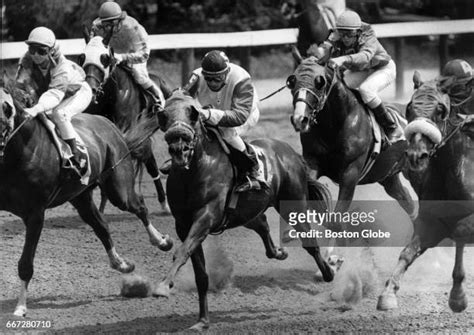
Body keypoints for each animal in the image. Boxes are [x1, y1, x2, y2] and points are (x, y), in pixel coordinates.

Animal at [0, 82, 173, 318]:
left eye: (5, 109)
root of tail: (109, 125)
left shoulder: (35, 215)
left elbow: (26, 263)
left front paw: (20, 307)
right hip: (80, 197)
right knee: (101, 225)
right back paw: (121, 264)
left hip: (118, 188)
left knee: (139, 207)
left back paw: (161, 241)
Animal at [77, 34, 173, 213]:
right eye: (82, 57)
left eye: (105, 58)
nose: (91, 88)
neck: (112, 96)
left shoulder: (127, 132)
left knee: (152, 165)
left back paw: (165, 203)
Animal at [150, 90, 336, 334]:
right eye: (165, 116)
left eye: (193, 115)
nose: (179, 147)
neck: (193, 172)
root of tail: (291, 153)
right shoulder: (183, 225)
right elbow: (200, 274)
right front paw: (202, 321)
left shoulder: (206, 217)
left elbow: (181, 252)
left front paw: (163, 286)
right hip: (245, 213)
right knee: (263, 224)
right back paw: (279, 252)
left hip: (293, 205)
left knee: (310, 243)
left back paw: (328, 273)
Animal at [286, 55, 414, 228]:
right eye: (292, 81)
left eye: (319, 82)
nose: (300, 119)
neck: (334, 126)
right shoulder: (312, 161)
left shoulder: (350, 173)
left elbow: (335, 220)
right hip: (387, 176)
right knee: (406, 198)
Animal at [378, 72, 474, 314]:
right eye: (409, 108)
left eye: (441, 109)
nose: (416, 155)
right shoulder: (431, 222)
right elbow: (407, 252)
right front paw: (388, 292)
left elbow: (459, 231)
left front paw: (458, 297)